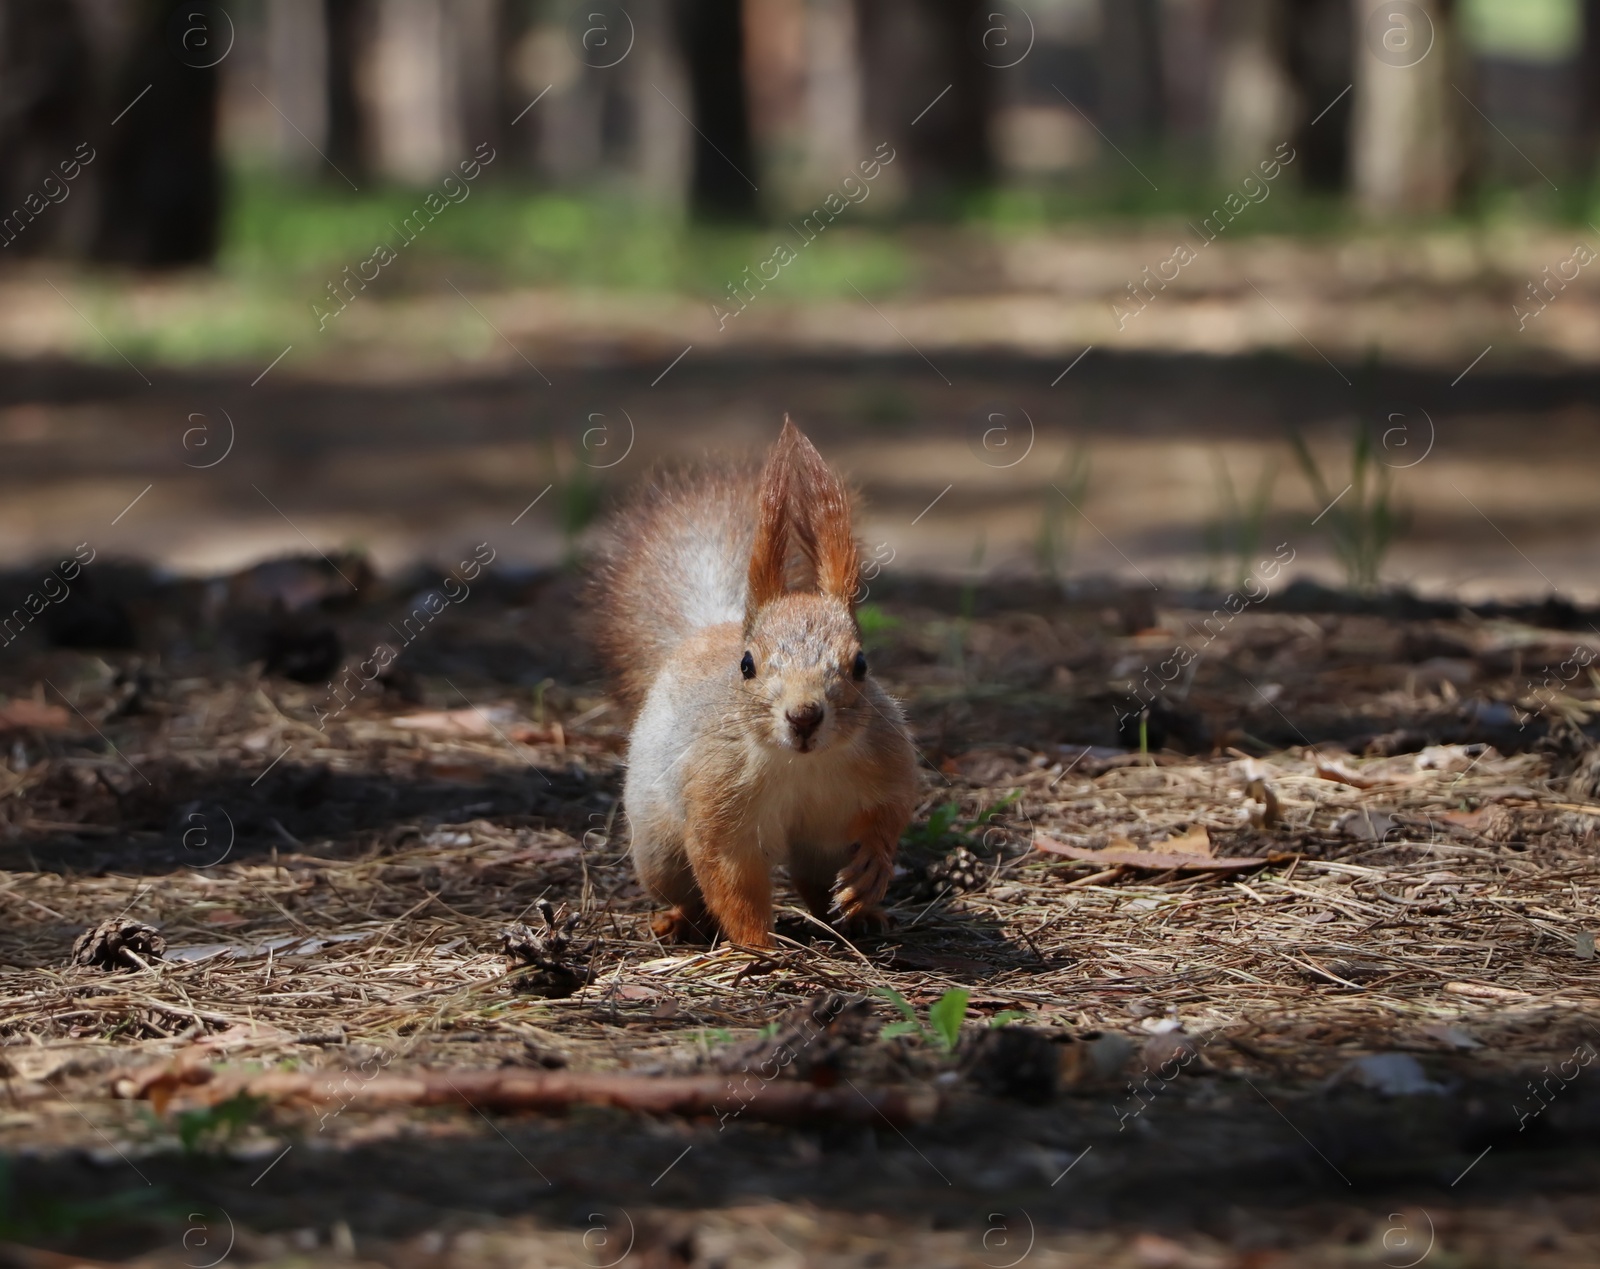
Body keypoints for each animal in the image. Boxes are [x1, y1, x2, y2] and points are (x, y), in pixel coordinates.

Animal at [588, 419, 915, 947]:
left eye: (861, 664)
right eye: (747, 665)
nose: (804, 716)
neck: (801, 765)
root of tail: (706, 632)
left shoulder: (889, 761)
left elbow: (893, 813)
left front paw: (873, 869)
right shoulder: (718, 800)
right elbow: (731, 881)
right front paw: (757, 946)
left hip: (823, 843)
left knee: (815, 883)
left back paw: (861, 916)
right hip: (658, 850)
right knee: (685, 888)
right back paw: (678, 920)